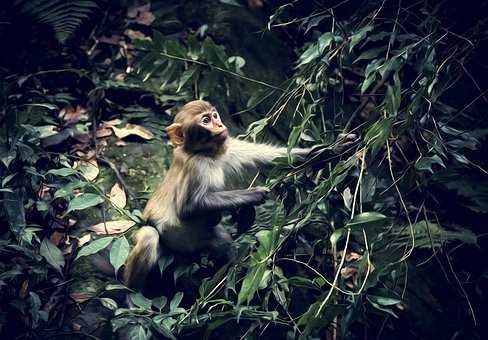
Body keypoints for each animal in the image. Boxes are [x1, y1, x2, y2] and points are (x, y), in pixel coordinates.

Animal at [124, 100, 356, 290]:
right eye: (205, 121)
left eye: (214, 116)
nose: (219, 125)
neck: (206, 154)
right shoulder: (196, 167)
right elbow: (188, 207)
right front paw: (253, 194)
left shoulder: (227, 145)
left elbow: (275, 158)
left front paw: (332, 150)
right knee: (149, 236)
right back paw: (131, 295)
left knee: (222, 241)